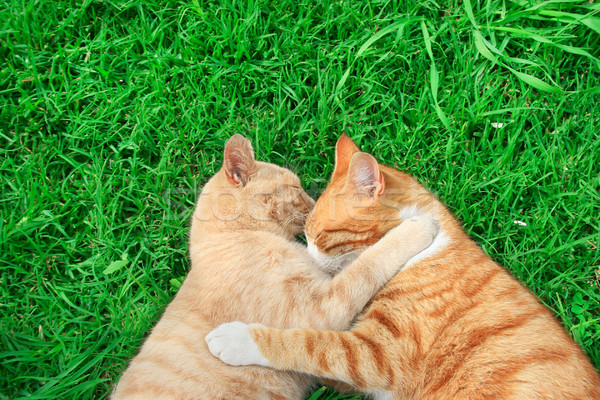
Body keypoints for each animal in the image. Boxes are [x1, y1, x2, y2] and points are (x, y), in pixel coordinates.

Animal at [112, 135, 438, 400]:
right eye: (295, 187)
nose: (312, 206)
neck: (237, 236)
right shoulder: (318, 309)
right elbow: (369, 262)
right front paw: (418, 227)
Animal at [207, 135, 600, 400]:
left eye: (317, 236)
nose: (309, 260)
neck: (429, 249)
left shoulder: (377, 355)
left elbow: (308, 343)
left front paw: (237, 338)